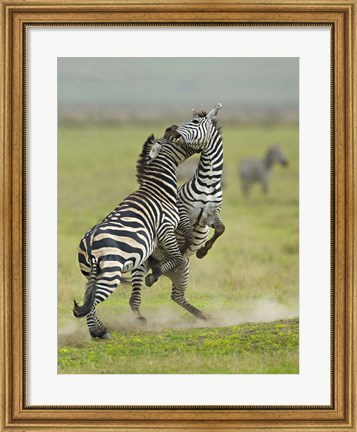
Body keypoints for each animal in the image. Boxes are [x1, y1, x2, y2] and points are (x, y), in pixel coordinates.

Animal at [73, 132, 199, 338]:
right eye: (173, 140)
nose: (174, 130)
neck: (159, 191)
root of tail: (90, 243)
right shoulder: (166, 229)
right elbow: (178, 258)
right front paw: (156, 274)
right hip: (111, 272)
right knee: (93, 301)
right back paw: (97, 333)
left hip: (91, 273)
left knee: (89, 299)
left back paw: (101, 329)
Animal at [128, 104, 224, 320]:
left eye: (195, 122)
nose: (170, 129)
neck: (208, 181)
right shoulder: (182, 209)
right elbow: (187, 231)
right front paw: (193, 245)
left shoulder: (211, 214)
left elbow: (221, 229)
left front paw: (203, 251)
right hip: (142, 264)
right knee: (137, 295)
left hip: (184, 270)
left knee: (176, 295)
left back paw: (203, 315)